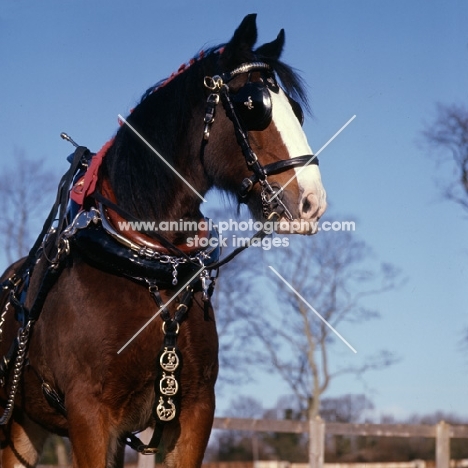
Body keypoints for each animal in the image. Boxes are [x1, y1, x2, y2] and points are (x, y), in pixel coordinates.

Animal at [0, 14, 326, 468]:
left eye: (295, 110)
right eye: (253, 106)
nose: (312, 202)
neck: (149, 269)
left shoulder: (193, 411)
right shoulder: (89, 415)